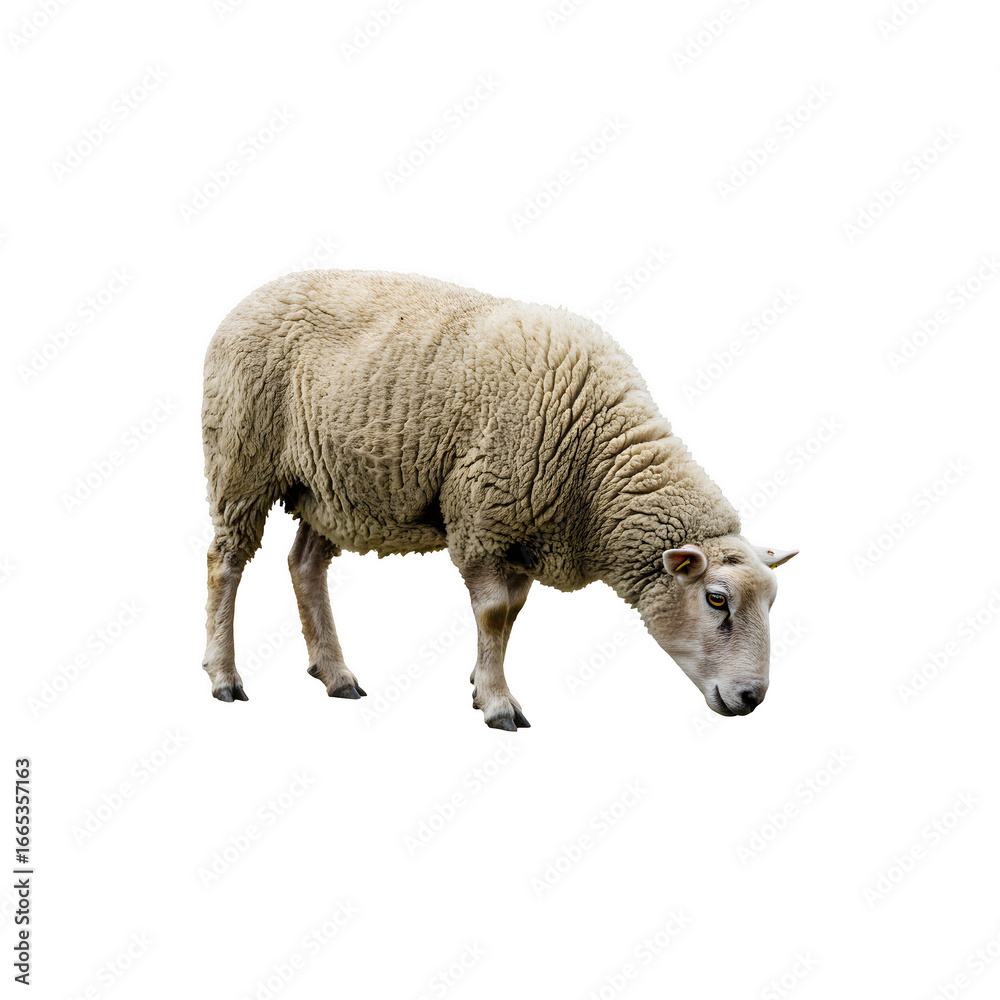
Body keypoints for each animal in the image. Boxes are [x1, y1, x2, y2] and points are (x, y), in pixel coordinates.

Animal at [201, 269, 797, 728]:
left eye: (772, 601)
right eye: (716, 599)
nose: (752, 698)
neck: (598, 460)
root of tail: (254, 295)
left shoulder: (526, 535)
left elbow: (511, 615)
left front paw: (481, 681)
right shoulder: (483, 520)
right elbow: (492, 614)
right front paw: (497, 703)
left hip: (329, 485)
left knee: (304, 564)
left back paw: (336, 674)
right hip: (241, 459)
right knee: (225, 562)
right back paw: (224, 676)